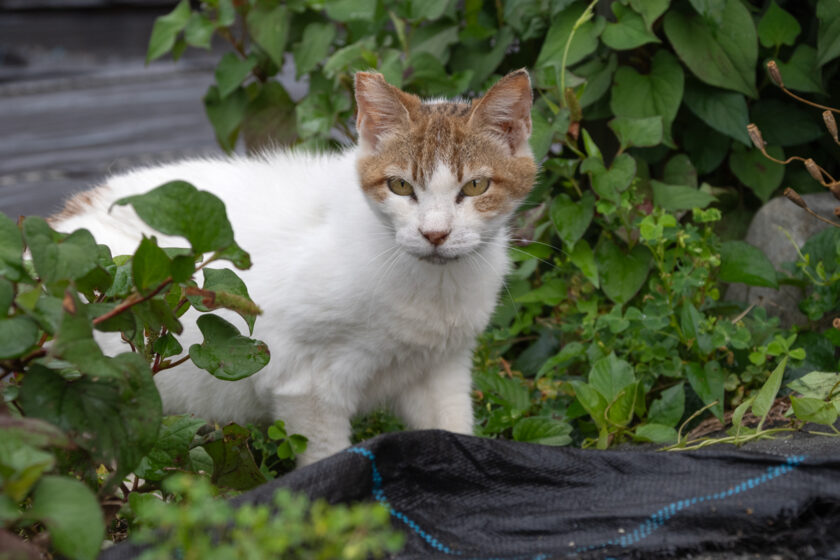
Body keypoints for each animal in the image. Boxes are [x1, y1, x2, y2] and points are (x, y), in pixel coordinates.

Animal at [50, 68, 540, 466]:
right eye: (401, 186)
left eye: (475, 186)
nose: (434, 234)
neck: (433, 284)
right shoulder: (307, 387)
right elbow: (328, 463)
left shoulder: (441, 369)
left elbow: (451, 432)